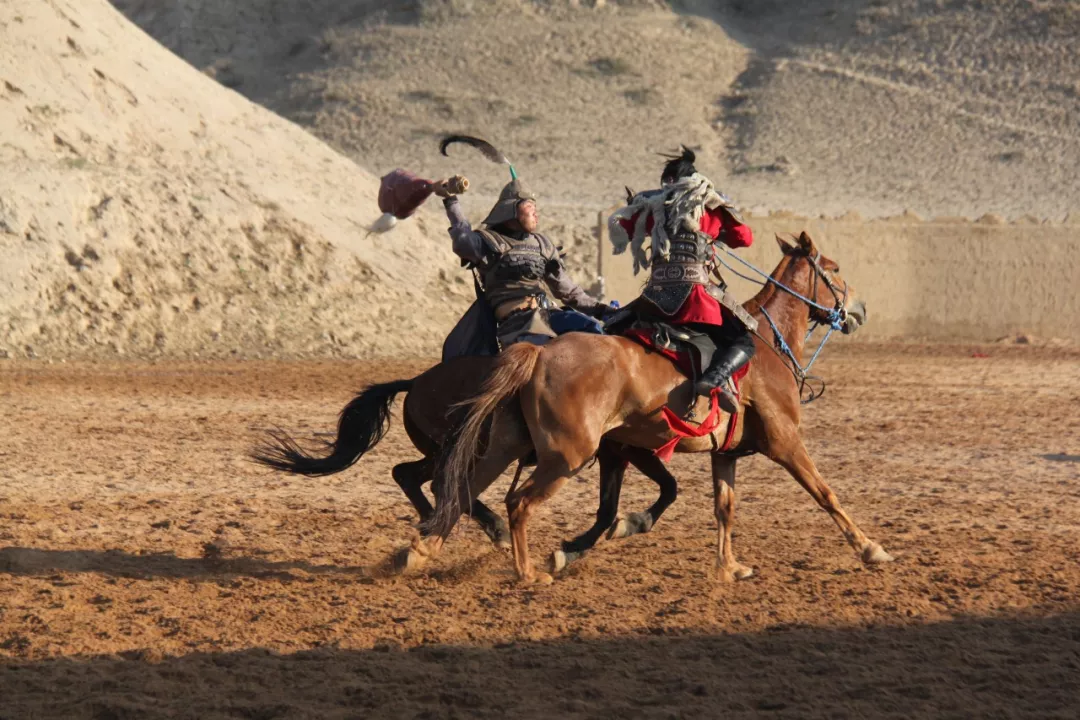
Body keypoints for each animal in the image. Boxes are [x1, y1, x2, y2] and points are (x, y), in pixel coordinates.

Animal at [423, 234, 894, 582]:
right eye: (834, 269)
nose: (860, 308)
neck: (764, 346)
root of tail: (540, 354)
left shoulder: (723, 454)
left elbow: (724, 507)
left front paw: (728, 567)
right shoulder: (786, 442)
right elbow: (825, 493)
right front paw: (870, 547)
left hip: (509, 445)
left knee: (461, 490)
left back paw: (419, 552)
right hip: (565, 457)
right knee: (518, 503)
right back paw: (526, 573)